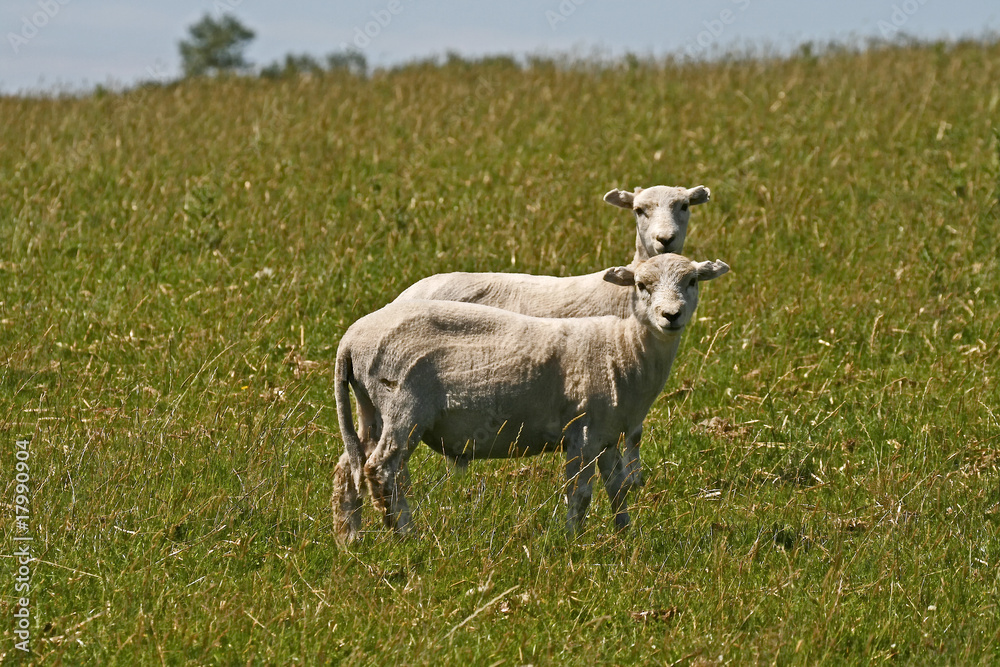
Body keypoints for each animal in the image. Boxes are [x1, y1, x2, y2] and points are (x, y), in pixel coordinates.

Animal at [332, 253, 730, 542]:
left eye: (691, 281)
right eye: (641, 285)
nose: (671, 316)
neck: (623, 348)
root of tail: (351, 339)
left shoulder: (607, 435)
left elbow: (617, 489)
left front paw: (627, 538)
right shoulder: (583, 433)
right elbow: (580, 493)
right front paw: (573, 542)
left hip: (370, 408)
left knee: (348, 467)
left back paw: (350, 538)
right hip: (402, 406)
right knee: (381, 468)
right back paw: (407, 535)